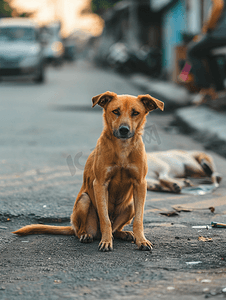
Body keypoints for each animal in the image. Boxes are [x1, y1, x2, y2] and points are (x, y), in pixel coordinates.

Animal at [12, 91, 164, 251]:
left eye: (135, 113)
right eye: (116, 111)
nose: (124, 130)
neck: (123, 149)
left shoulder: (140, 184)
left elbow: (138, 220)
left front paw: (142, 240)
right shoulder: (100, 184)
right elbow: (105, 219)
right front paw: (106, 241)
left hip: (131, 205)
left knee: (115, 229)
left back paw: (124, 234)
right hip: (84, 201)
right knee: (81, 230)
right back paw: (86, 235)